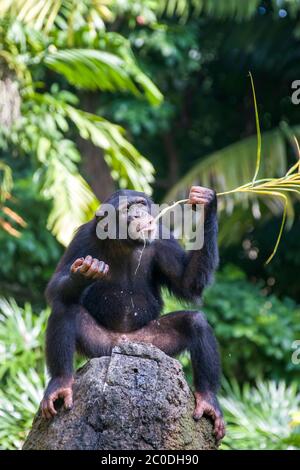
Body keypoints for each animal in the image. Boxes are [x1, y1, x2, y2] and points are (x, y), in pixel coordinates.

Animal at [41, 186, 225, 440]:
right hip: (99, 347)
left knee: (195, 322)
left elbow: (187, 282)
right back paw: (60, 384)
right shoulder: (83, 237)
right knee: (64, 309)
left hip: (152, 345)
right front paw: (83, 273)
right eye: (127, 208)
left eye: (140, 203)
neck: (125, 242)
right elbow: (56, 287)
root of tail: (123, 345)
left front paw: (207, 202)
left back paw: (207, 399)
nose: (139, 214)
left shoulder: (161, 237)